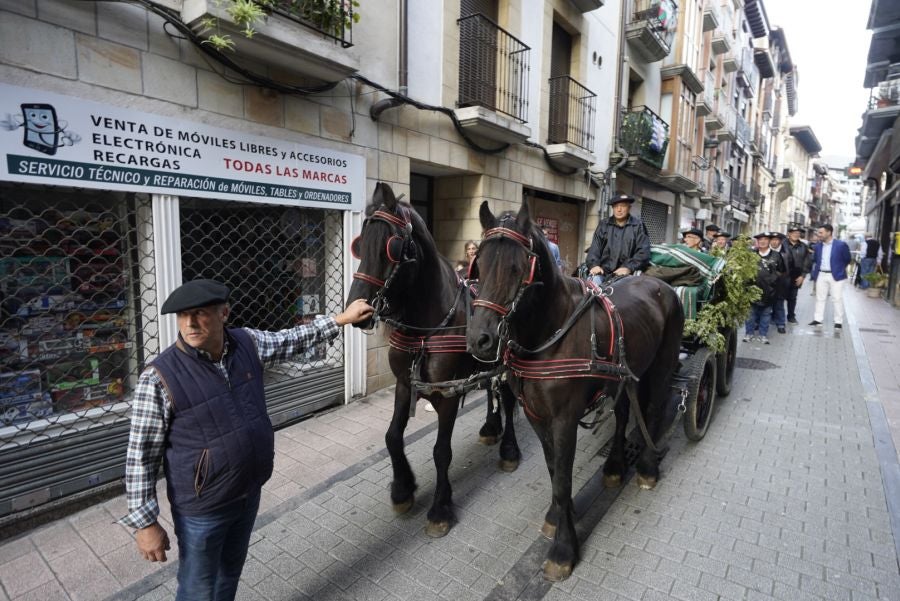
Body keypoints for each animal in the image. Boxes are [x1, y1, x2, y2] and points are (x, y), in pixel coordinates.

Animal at [348, 182, 524, 536]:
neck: (428, 327)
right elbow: (392, 437)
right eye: (360, 244)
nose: (357, 307)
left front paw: (440, 508)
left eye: (391, 246)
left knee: (508, 399)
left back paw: (509, 448)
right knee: (491, 392)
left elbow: (441, 451)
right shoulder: (405, 385)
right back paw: (490, 426)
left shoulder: (447, 394)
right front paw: (402, 489)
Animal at [464, 200, 684, 576]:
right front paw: (558, 515)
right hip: (625, 376)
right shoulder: (537, 416)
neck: (549, 333)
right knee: (624, 413)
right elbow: (554, 470)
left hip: (663, 362)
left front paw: (563, 549)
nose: (480, 339)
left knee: (653, 409)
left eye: (517, 267)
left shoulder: (565, 420)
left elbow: (563, 477)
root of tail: (659, 286)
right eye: (478, 265)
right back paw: (614, 467)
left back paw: (646, 468)